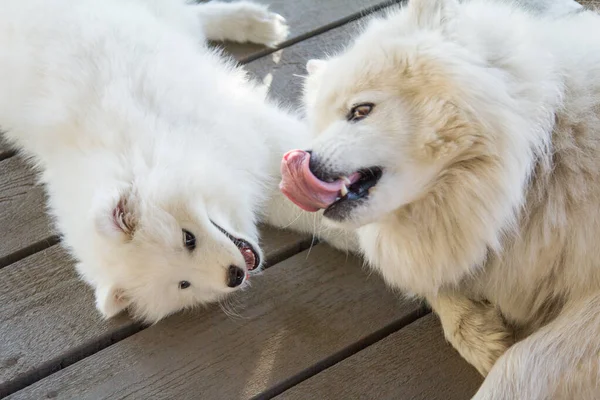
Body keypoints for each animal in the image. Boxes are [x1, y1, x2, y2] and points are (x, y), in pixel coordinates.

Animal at [282, 0, 600, 396]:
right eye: (318, 126)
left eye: (361, 110)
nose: (298, 161)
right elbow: (431, 280)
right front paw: (478, 332)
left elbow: (519, 362)